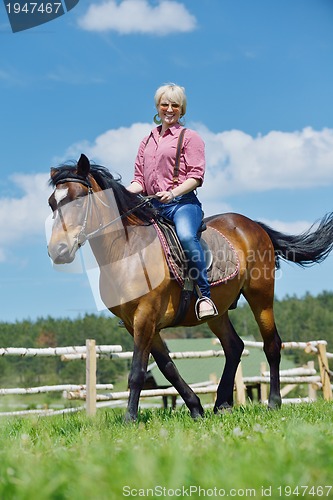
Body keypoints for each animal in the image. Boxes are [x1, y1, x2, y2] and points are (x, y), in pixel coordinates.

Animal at [47, 154, 333, 420]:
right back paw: (222, 404)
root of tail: (253, 225)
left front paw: (130, 418)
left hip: (260, 296)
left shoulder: (145, 317)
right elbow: (168, 368)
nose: (57, 251)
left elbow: (137, 371)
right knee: (234, 347)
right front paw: (196, 408)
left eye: (78, 199)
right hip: (218, 312)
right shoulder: (135, 323)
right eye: (52, 203)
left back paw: (273, 402)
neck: (127, 251)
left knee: (271, 344)